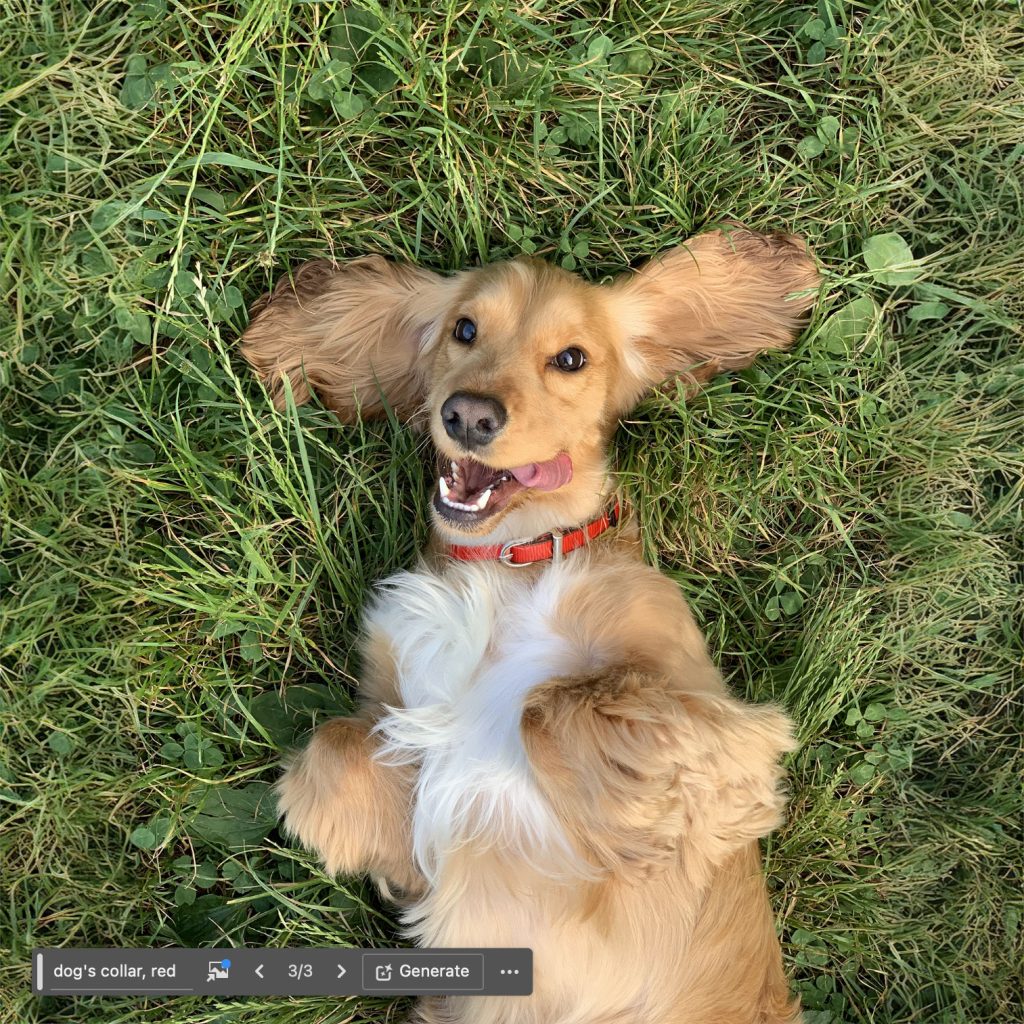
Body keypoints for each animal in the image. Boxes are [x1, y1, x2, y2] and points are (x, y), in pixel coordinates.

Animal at [237, 228, 815, 1024]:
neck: (507, 564)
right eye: (464, 330)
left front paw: (631, 825)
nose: (468, 416)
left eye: (570, 359)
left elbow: (550, 704)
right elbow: (335, 746)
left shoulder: (725, 726)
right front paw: (375, 836)